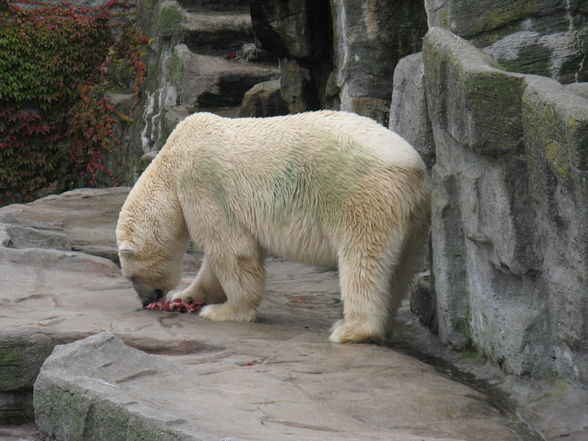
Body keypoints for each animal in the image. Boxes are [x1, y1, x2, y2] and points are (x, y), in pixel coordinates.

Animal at [117, 111, 432, 344]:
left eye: (132, 276)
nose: (146, 300)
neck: (170, 165)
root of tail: (413, 167)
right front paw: (185, 296)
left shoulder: (202, 185)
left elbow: (231, 250)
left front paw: (223, 311)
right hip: (414, 220)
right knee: (400, 269)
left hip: (362, 198)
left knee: (363, 261)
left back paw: (350, 329)